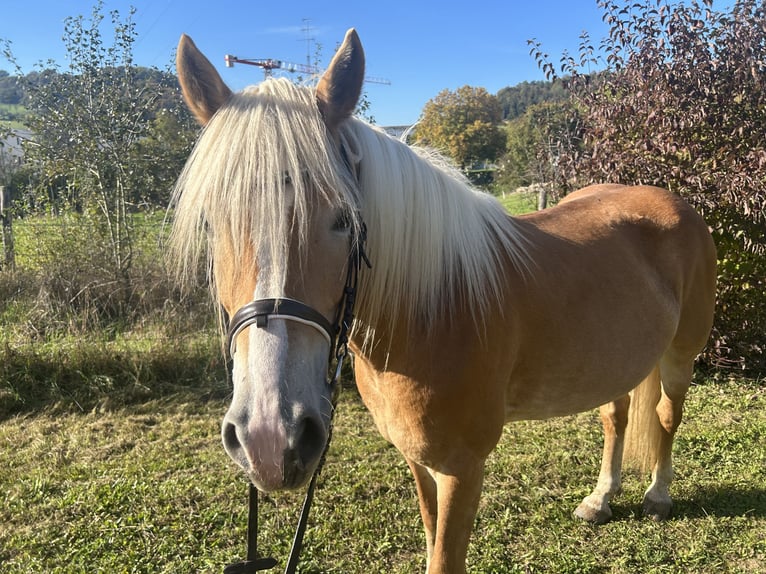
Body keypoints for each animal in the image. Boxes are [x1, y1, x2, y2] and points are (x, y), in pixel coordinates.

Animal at [170, 29, 717, 574]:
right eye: (210, 222)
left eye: (344, 219)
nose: (269, 437)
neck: (433, 311)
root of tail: (672, 202)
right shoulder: (418, 460)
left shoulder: (462, 469)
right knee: (615, 416)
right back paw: (601, 498)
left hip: (680, 356)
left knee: (666, 416)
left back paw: (658, 495)